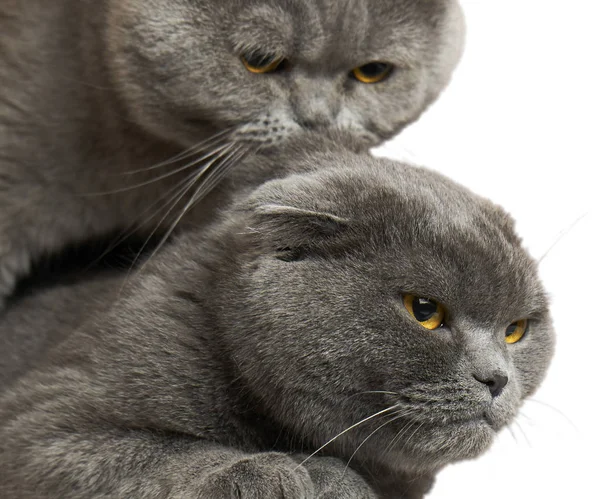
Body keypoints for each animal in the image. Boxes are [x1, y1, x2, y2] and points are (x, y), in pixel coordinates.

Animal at [0, 135, 556, 498]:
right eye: (425, 311)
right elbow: (160, 455)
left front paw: (327, 476)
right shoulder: (40, 427)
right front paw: (281, 474)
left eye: (515, 330)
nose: (497, 379)